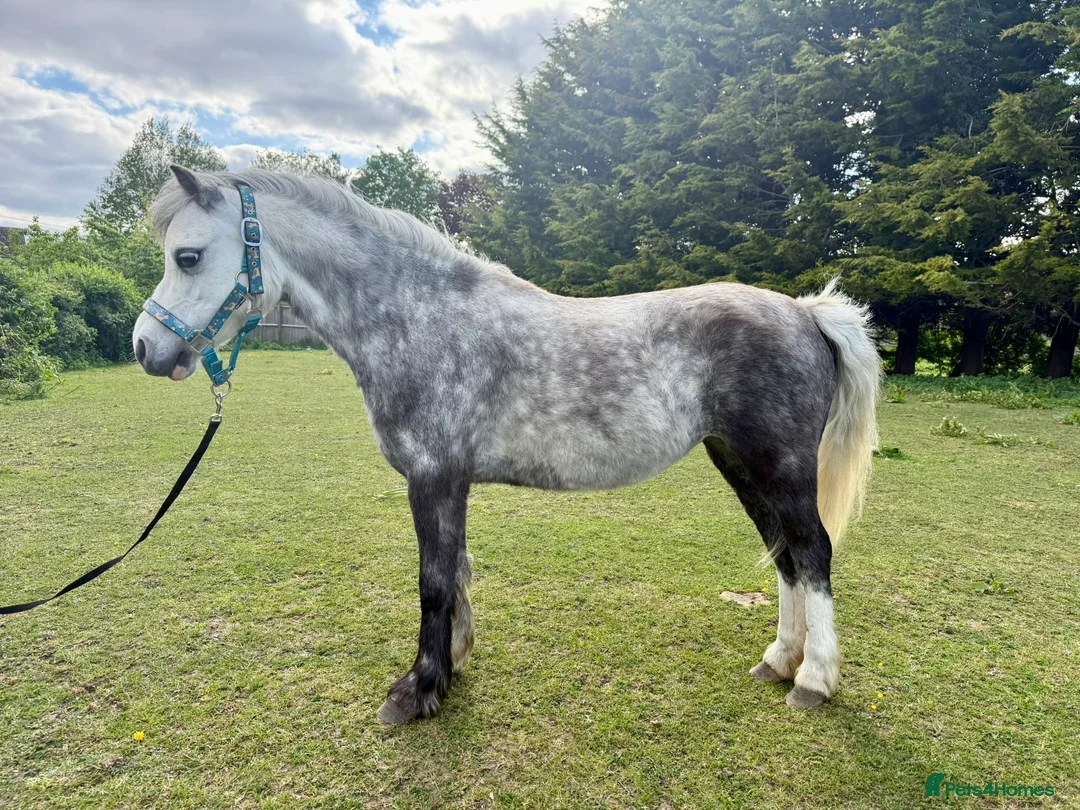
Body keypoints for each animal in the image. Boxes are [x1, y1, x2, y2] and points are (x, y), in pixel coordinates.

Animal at [132, 165, 881, 724]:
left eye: (188, 256)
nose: (145, 348)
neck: (418, 319)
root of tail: (804, 312)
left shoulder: (433, 477)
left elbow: (434, 580)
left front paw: (417, 690)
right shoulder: (448, 481)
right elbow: (456, 570)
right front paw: (452, 666)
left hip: (779, 465)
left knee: (812, 551)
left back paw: (813, 680)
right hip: (740, 463)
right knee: (786, 554)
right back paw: (778, 660)